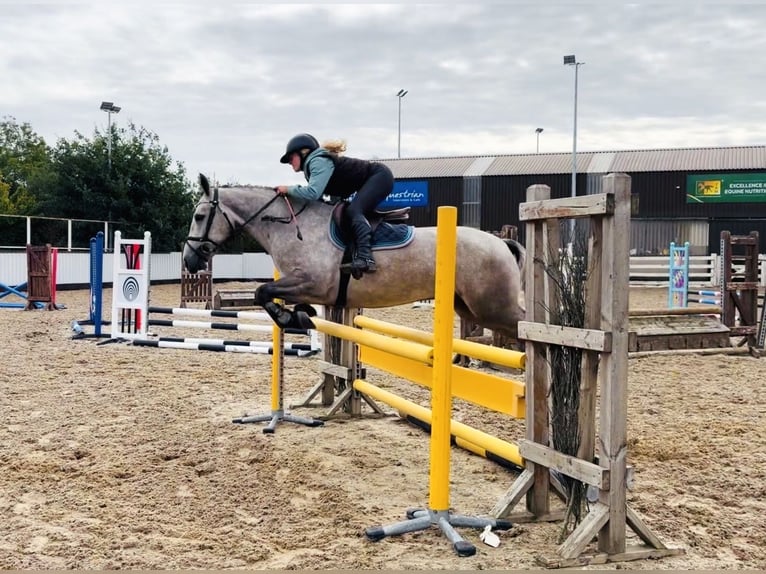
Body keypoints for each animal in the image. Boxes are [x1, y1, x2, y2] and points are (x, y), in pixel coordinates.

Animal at [183, 174, 525, 339]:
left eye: (199, 216)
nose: (189, 260)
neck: (291, 225)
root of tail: (501, 243)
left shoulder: (313, 283)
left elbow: (262, 291)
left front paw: (290, 318)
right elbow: (267, 293)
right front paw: (301, 315)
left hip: (494, 306)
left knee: (526, 331)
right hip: (470, 308)